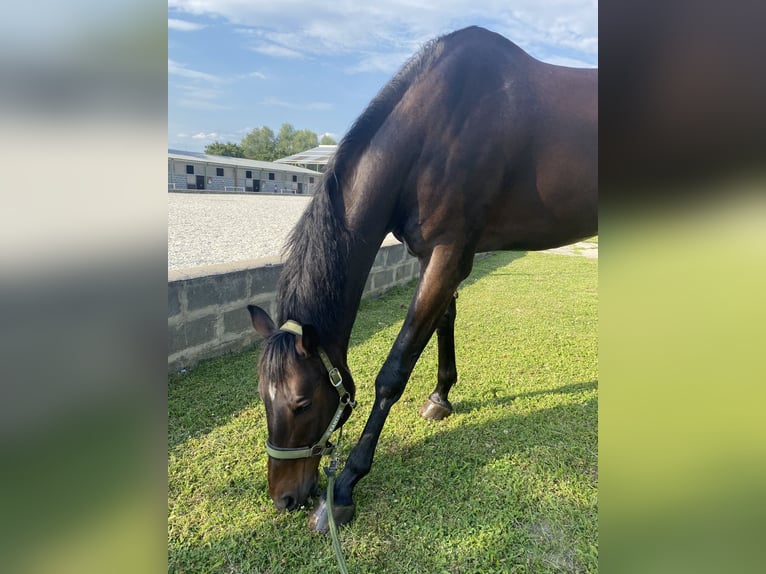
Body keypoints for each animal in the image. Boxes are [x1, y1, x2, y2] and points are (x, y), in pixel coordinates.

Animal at [249, 24, 596, 532]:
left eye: (303, 402)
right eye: (262, 397)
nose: (283, 498)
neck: (437, 129)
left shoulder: (449, 254)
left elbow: (394, 369)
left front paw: (346, 486)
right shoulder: (433, 255)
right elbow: (444, 321)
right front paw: (441, 396)